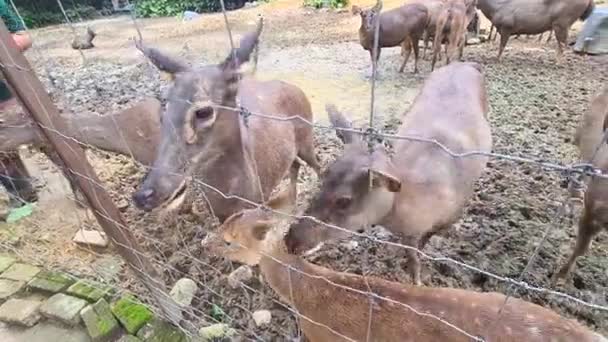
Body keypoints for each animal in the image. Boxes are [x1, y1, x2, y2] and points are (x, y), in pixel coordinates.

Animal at [132, 17, 324, 223]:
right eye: (163, 107)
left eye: (204, 112)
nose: (143, 195)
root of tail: (295, 88)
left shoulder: (259, 204)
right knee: (294, 164)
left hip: (307, 137)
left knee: (317, 165)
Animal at [282, 62, 492, 286]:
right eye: (322, 181)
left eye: (344, 201)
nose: (291, 239)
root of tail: (467, 64)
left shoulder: (450, 215)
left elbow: (417, 252)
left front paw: (417, 280)